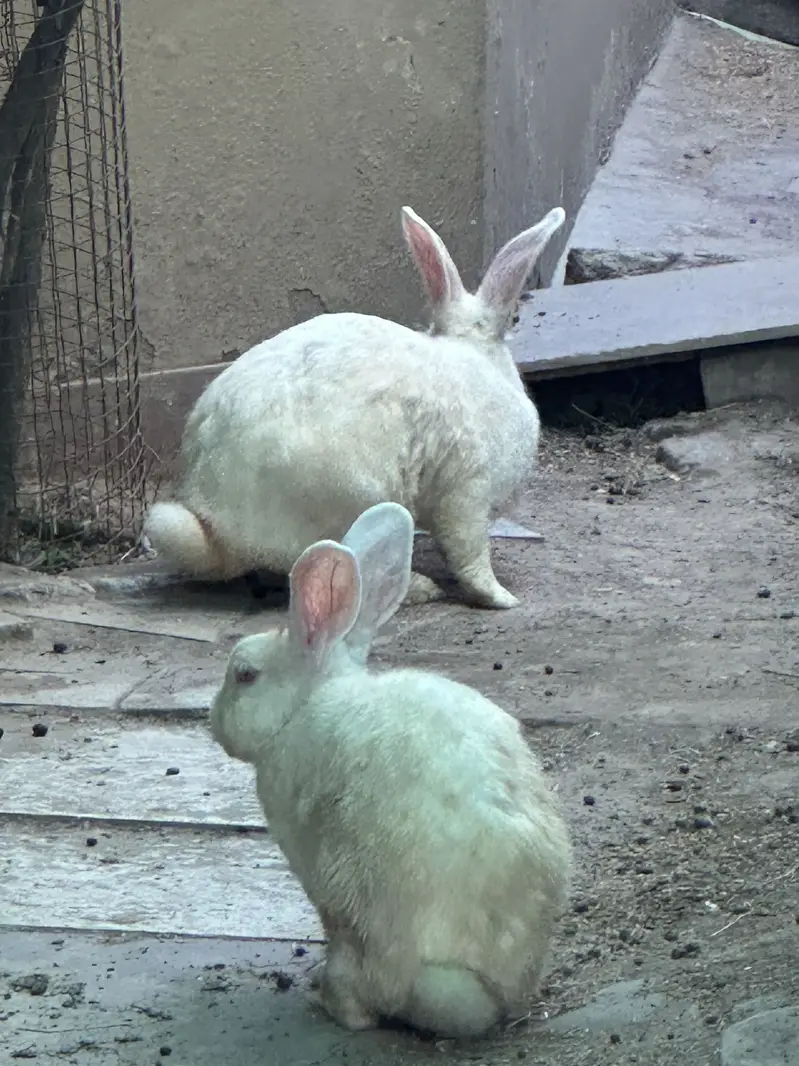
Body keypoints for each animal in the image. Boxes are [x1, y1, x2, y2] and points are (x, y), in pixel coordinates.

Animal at [143, 203, 565, 610]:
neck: (474, 356)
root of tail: (221, 530)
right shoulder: (468, 494)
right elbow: (471, 555)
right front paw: (502, 599)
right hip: (357, 502)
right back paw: (419, 588)